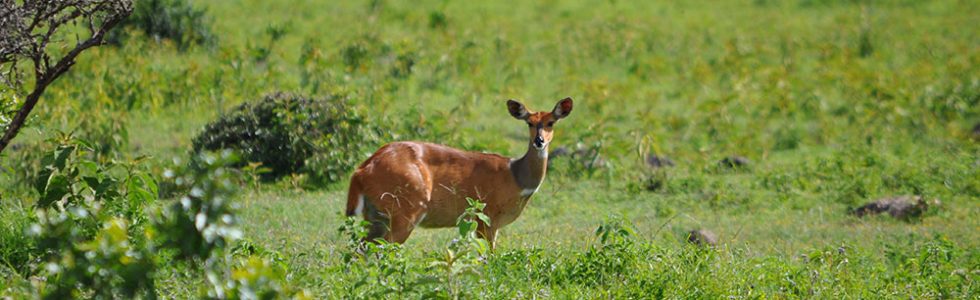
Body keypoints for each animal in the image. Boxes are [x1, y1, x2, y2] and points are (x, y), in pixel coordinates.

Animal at [346, 97, 572, 247]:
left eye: (551, 122)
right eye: (529, 123)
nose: (539, 141)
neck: (516, 177)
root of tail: (361, 171)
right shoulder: (486, 217)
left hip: (376, 215)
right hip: (406, 210)